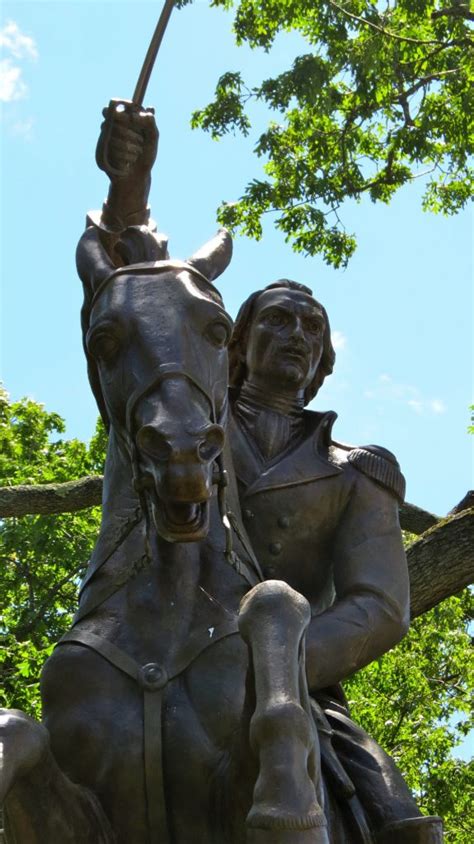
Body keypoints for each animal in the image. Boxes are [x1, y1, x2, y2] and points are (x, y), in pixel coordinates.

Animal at [0, 226, 340, 844]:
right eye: (103, 339)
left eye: (218, 329)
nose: (182, 451)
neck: (169, 604)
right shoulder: (95, 816)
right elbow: (16, 730)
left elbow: (276, 608)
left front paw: (288, 805)